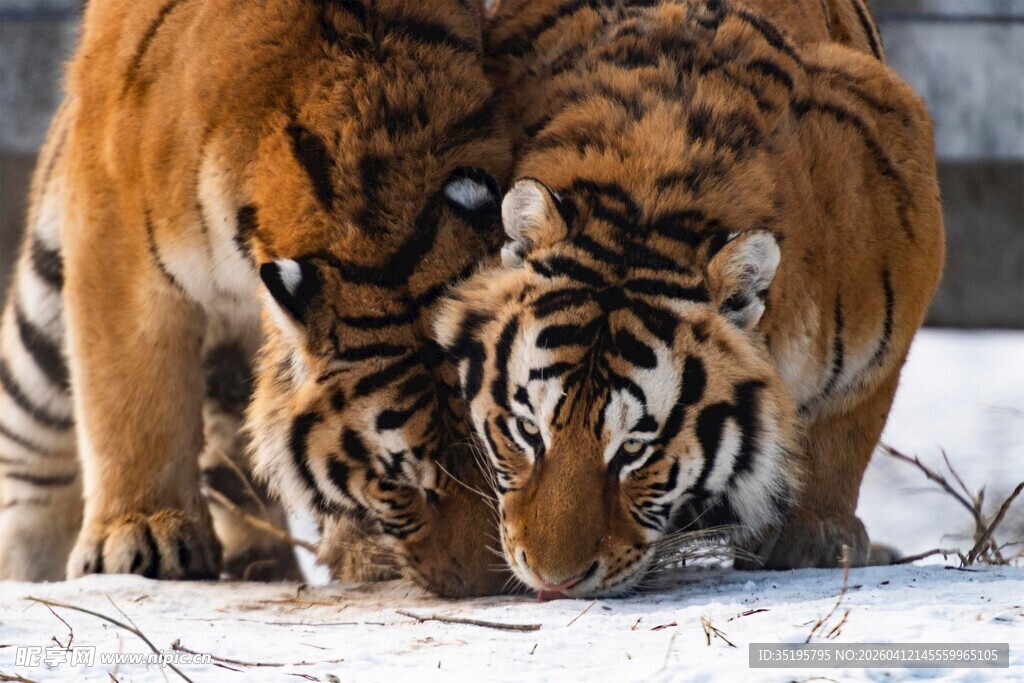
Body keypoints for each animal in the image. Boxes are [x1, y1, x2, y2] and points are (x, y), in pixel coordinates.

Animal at [0, 0, 514, 597]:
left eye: (499, 450)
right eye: (398, 480)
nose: (483, 585)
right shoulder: (116, 237)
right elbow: (131, 396)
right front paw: (140, 535)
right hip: (40, 325)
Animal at [433, 0, 944, 597]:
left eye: (635, 449)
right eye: (527, 430)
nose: (553, 580)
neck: (646, 203)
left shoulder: (893, 314)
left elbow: (846, 429)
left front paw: (816, 534)